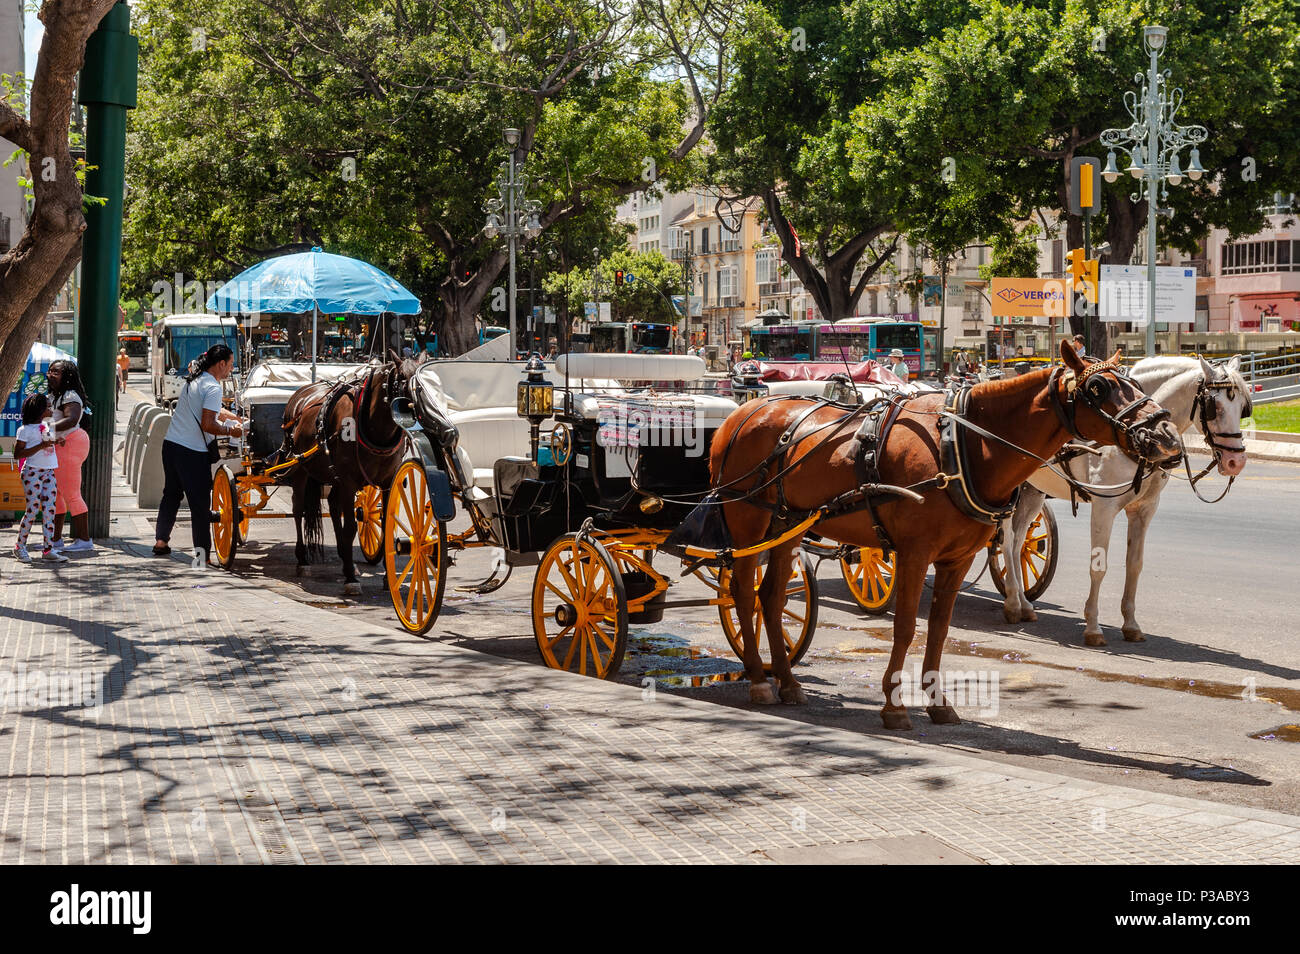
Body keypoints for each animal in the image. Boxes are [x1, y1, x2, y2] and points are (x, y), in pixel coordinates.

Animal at [282, 348, 423, 590]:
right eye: (403, 380)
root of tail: (301, 394)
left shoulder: (387, 483)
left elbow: (386, 525)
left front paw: (386, 577)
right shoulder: (348, 482)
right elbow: (349, 528)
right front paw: (350, 578)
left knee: (333, 505)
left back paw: (343, 555)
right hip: (299, 468)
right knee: (298, 509)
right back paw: (303, 559)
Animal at [712, 340, 1190, 727]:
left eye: (1133, 381)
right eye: (1099, 389)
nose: (1166, 435)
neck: (961, 447)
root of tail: (745, 410)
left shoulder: (956, 559)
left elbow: (939, 628)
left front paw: (938, 703)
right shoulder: (913, 553)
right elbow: (905, 625)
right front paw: (894, 706)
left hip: (787, 525)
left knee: (771, 596)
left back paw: (787, 681)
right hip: (746, 520)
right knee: (742, 592)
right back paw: (758, 679)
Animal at [993, 356, 1248, 647]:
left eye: (1243, 407)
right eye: (1214, 406)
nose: (1236, 461)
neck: (1132, 432)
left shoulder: (1144, 509)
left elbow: (1134, 565)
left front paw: (1131, 624)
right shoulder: (1104, 507)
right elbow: (1098, 567)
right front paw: (1093, 627)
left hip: (1033, 490)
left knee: (1018, 542)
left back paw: (1024, 603)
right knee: (1007, 538)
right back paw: (1013, 602)